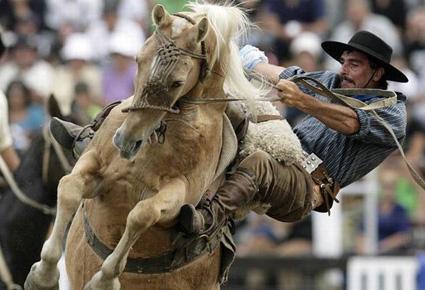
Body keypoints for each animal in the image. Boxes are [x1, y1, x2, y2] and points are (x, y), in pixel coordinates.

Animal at [24, 2, 264, 290]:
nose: (126, 140)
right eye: (138, 59)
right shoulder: (95, 163)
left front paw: (104, 281)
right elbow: (69, 187)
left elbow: (141, 214)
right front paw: (43, 275)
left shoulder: (178, 193)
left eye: (177, 82)